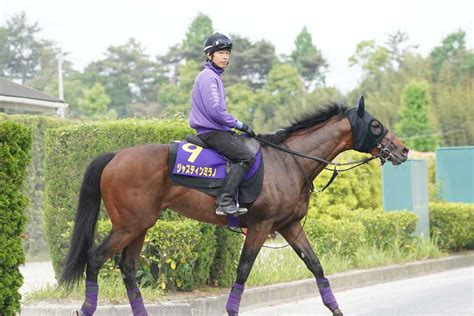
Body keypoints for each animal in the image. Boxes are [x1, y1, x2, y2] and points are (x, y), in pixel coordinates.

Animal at [59, 97, 408, 316]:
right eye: (375, 125)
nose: (403, 150)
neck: (289, 162)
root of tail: (115, 155)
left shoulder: (289, 226)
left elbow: (316, 265)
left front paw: (336, 309)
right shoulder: (260, 226)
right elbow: (243, 270)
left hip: (141, 226)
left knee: (128, 269)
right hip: (128, 225)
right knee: (95, 257)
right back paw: (87, 309)